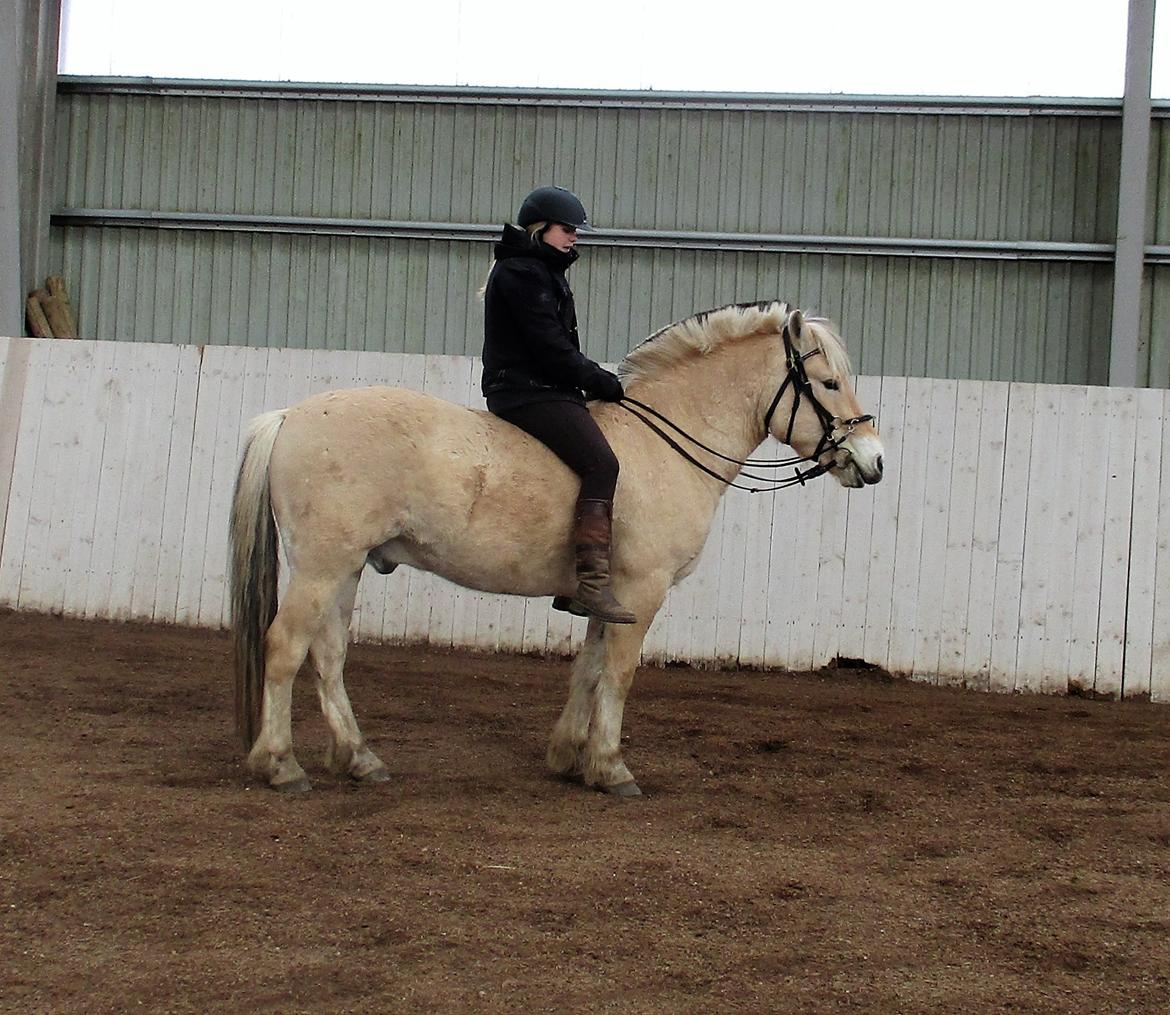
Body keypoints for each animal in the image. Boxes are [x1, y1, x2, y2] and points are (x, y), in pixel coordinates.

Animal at [230, 299, 884, 795]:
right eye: (829, 383)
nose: (874, 461)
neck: (661, 446)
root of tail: (289, 416)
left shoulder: (608, 595)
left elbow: (588, 670)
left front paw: (570, 757)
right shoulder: (642, 590)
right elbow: (618, 673)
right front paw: (611, 768)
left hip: (344, 569)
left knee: (328, 655)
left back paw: (360, 759)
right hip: (322, 567)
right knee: (285, 647)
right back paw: (280, 765)